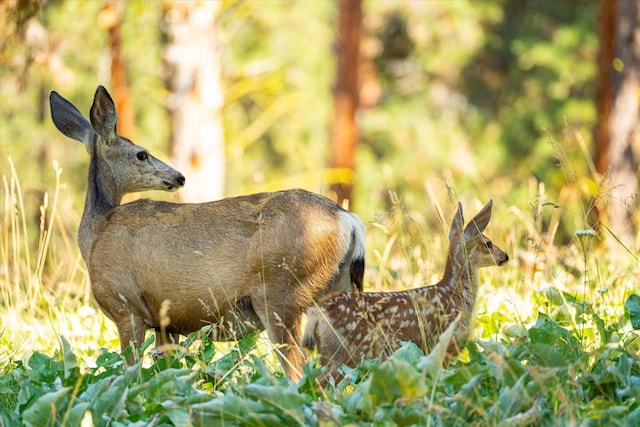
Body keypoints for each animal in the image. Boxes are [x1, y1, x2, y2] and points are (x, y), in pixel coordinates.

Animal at [50, 87, 364, 382]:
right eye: (142, 154)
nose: (179, 176)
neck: (96, 235)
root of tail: (348, 220)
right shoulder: (165, 321)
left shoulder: (126, 305)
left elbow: (131, 371)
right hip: (339, 290)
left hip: (281, 292)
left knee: (299, 371)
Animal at [302, 201, 508, 382]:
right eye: (488, 243)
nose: (505, 256)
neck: (453, 294)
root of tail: (317, 314)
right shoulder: (443, 343)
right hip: (354, 352)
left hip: (329, 354)